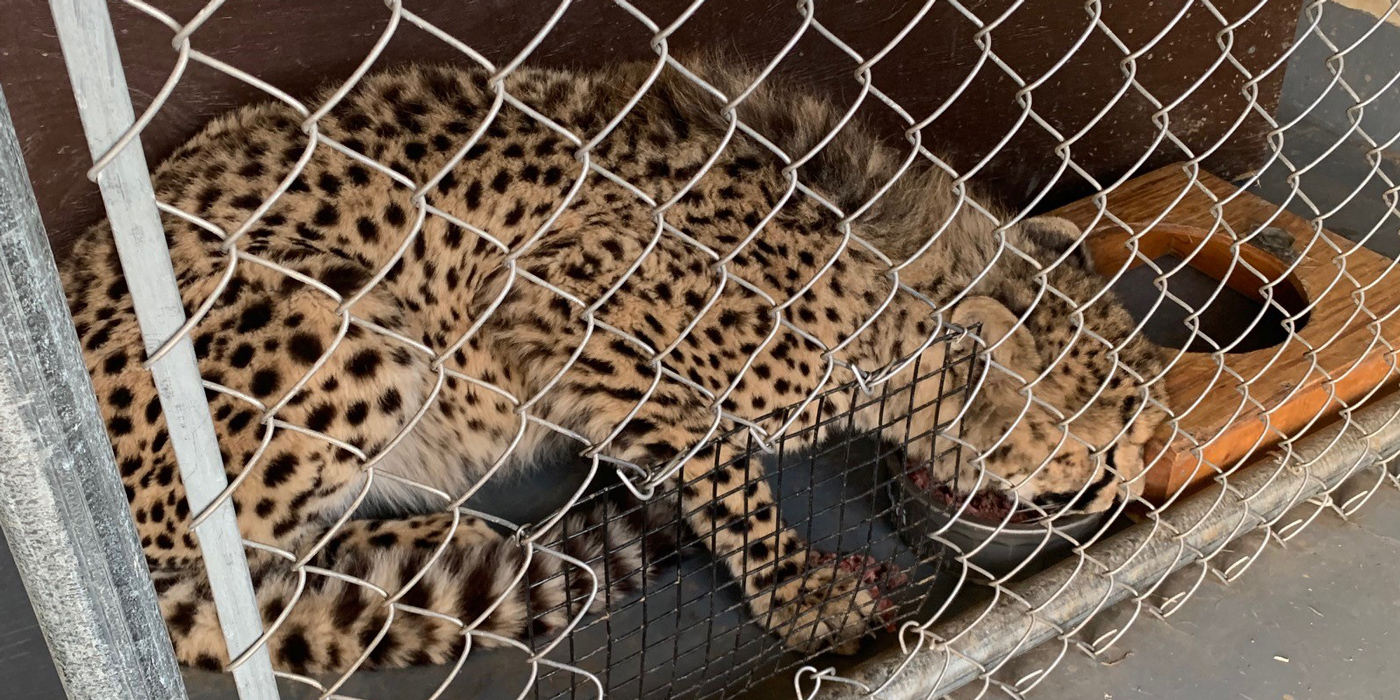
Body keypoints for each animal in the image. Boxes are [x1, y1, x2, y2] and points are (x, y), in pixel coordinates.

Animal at [60, 58, 1164, 672]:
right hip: (342, 318)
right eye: (1100, 449)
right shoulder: (561, 314)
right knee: (211, 571)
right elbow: (728, 478)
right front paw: (801, 592)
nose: (1143, 480)